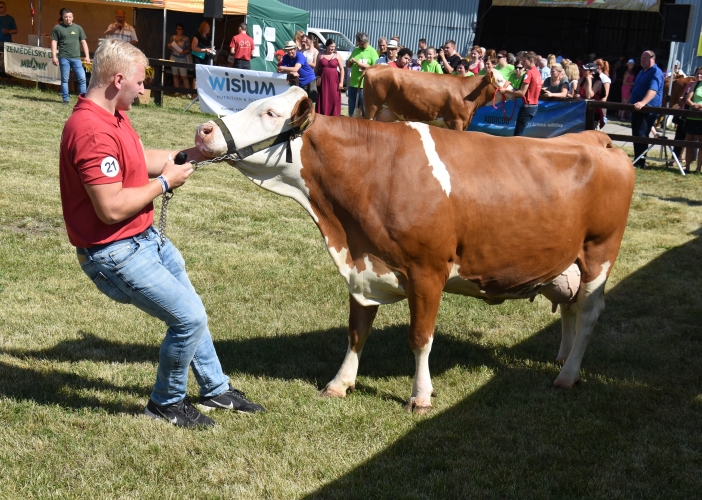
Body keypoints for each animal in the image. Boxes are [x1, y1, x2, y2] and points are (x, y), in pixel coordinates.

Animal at [194, 87, 640, 414]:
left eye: (270, 113)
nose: (203, 131)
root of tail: (597, 138)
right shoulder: (364, 266)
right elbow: (356, 332)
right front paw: (340, 383)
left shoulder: (427, 271)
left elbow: (420, 337)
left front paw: (421, 396)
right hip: (567, 259)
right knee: (569, 308)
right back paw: (563, 360)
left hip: (599, 252)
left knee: (589, 312)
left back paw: (568, 376)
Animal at [364, 64, 506, 131]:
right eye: (499, 80)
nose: (510, 87)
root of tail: (376, 66)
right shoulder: (456, 121)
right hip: (372, 107)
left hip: (386, 113)